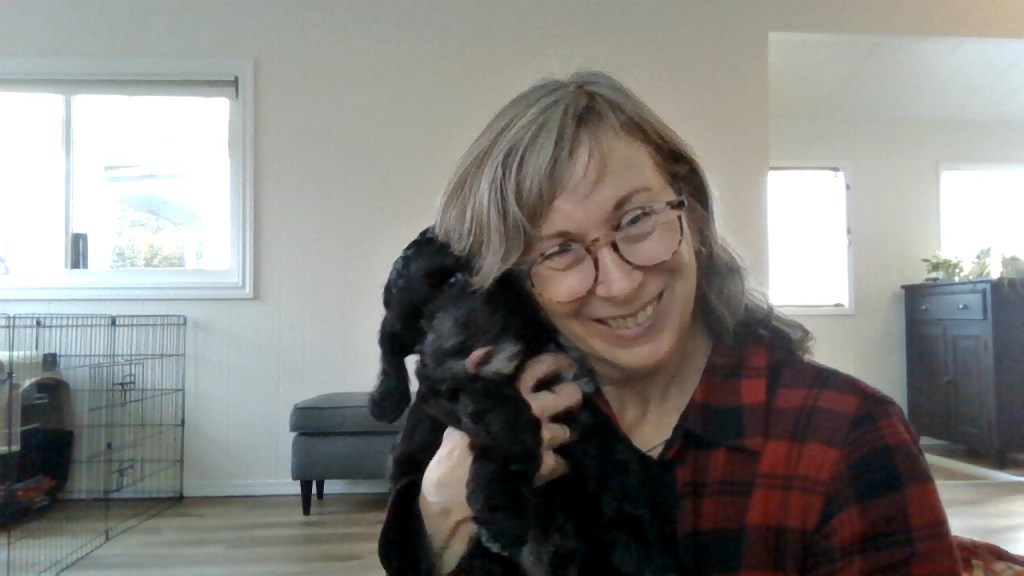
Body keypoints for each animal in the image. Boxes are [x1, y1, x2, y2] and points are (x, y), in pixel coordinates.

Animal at [371, 227, 680, 575]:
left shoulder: (580, 414)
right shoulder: (445, 395)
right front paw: (502, 508)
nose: (448, 349)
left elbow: (617, 473)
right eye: (417, 329)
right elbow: (498, 417)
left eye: (457, 279)